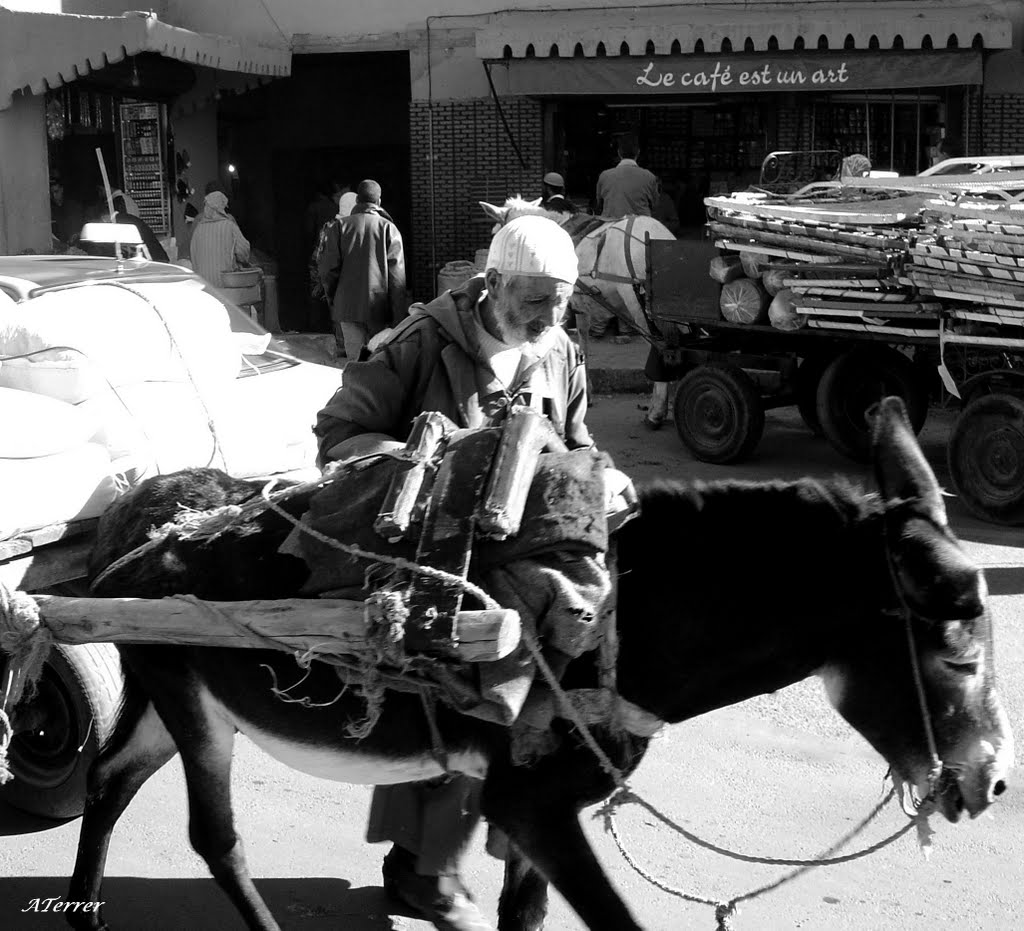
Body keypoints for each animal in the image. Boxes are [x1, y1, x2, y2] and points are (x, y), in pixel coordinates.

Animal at [68, 399, 1011, 929]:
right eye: (958, 653)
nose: (992, 781)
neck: (620, 614)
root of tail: (146, 512)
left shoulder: (530, 808)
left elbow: (524, 915)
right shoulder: (531, 804)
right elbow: (615, 920)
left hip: (178, 697)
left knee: (109, 782)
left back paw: (84, 914)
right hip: (192, 703)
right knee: (215, 837)